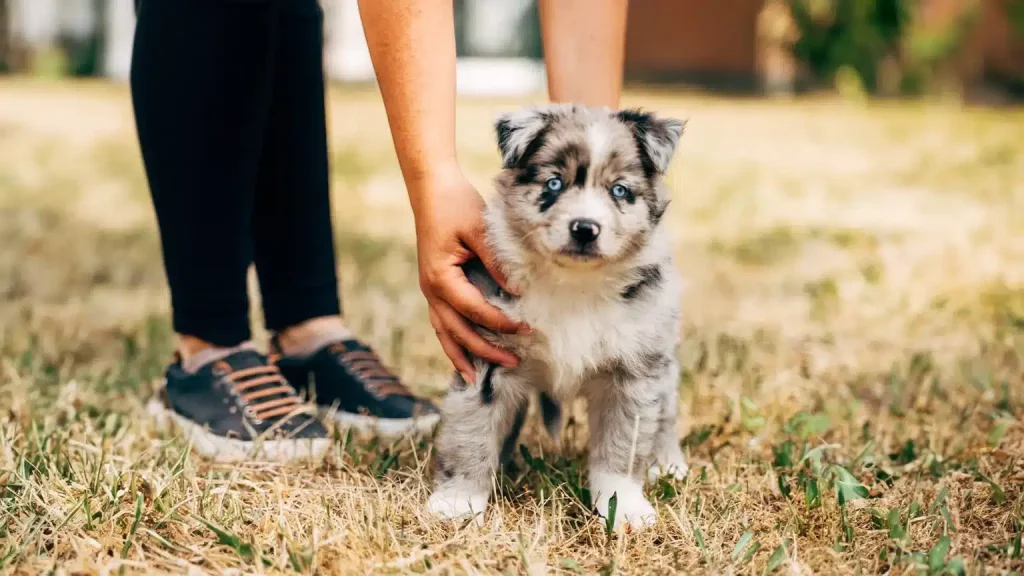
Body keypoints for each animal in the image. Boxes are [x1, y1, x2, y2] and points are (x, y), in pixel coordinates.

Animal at [425, 104, 688, 528]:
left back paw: (667, 462)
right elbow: (472, 432)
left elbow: (622, 447)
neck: (573, 282)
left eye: (619, 190)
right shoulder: (487, 358)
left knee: (666, 410)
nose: (584, 229)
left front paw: (623, 506)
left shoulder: (632, 372)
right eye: (553, 183)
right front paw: (459, 501)